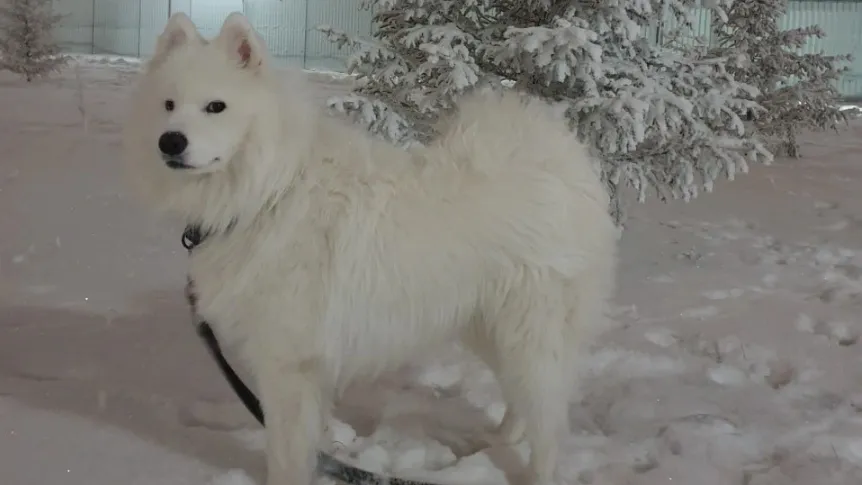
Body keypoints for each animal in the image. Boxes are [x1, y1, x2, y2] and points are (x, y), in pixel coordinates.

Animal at [123, 11, 620, 484]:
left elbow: (285, 455)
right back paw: (497, 440)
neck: (268, 192)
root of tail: (562, 161)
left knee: (548, 420)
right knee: (524, 400)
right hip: (489, 326)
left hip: (529, 330)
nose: (171, 141)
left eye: (216, 107)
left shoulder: (287, 364)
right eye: (168, 105)